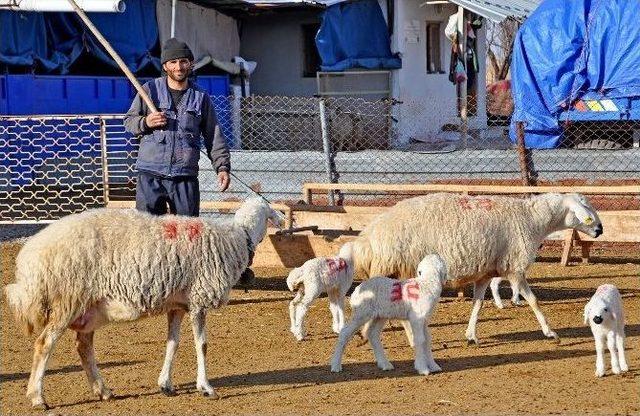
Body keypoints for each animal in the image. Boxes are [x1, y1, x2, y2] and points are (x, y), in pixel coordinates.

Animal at [3, 198, 282, 410]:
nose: (280, 220)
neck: (237, 238)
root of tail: (29, 259)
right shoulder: (198, 299)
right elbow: (201, 345)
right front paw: (206, 387)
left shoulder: (177, 305)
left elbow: (173, 344)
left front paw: (165, 384)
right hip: (68, 299)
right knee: (44, 344)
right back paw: (38, 398)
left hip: (88, 307)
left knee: (83, 346)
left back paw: (103, 390)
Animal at [348, 192, 604, 344]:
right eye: (586, 211)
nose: (600, 230)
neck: (532, 219)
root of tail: (368, 240)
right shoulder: (514, 267)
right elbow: (533, 300)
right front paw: (550, 332)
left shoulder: (485, 273)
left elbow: (477, 305)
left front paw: (471, 335)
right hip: (402, 269)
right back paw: (408, 338)